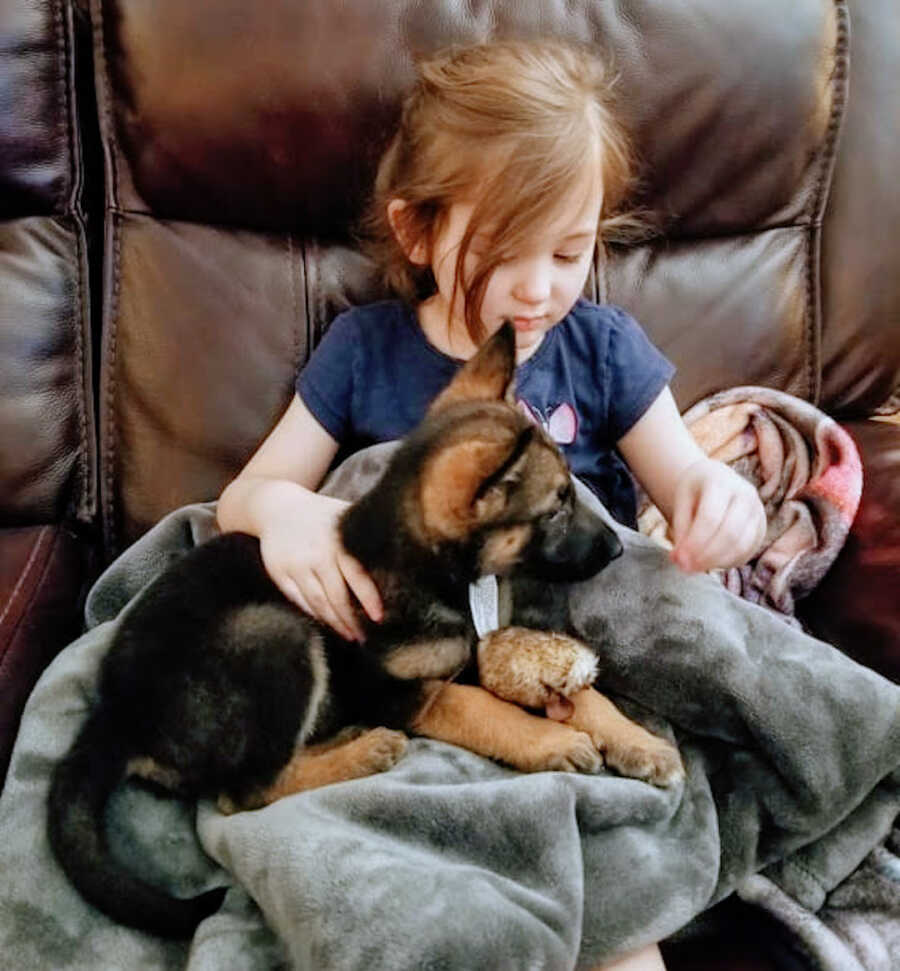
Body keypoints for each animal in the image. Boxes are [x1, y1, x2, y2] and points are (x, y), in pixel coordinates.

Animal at [44, 322, 676, 936]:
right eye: (555, 508)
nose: (619, 548)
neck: (434, 569)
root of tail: (114, 713)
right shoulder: (395, 687)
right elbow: (480, 708)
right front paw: (550, 741)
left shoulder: (476, 649)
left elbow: (583, 693)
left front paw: (639, 743)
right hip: (273, 634)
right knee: (243, 792)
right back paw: (365, 751)